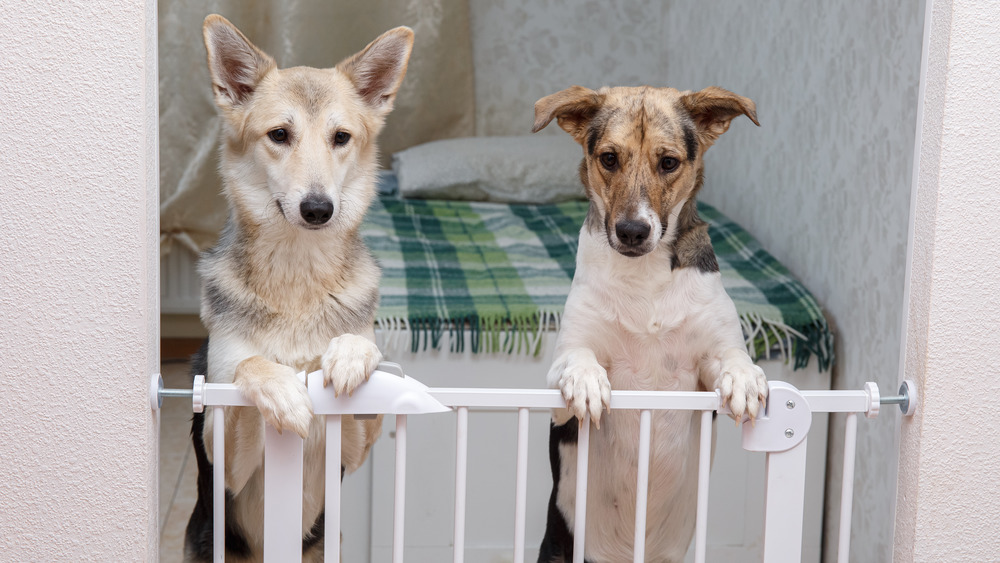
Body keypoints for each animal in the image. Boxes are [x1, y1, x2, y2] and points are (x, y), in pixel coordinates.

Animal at [182, 15, 412, 560]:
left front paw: (348, 356)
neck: (298, 278)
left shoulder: (351, 447)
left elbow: (361, 357)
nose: (318, 209)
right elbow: (249, 364)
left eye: (341, 137)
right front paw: (284, 390)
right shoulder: (225, 460)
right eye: (279, 135)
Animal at [536, 85, 768, 563]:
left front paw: (745, 379)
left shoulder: (705, 366)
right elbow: (576, 362)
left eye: (669, 162)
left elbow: (733, 358)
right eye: (608, 158)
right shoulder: (557, 391)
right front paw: (587, 381)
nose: (631, 231)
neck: (644, 280)